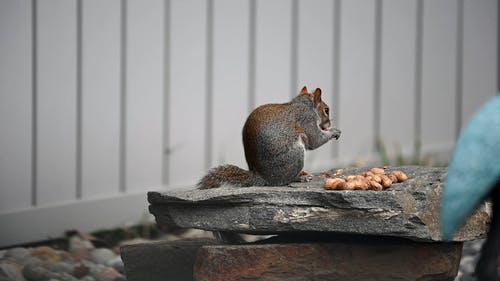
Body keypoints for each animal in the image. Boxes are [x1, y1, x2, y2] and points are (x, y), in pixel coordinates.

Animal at [197, 86, 342, 189]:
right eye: (326, 110)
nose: (329, 124)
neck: (304, 104)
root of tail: (263, 177)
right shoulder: (307, 119)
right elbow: (315, 140)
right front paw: (334, 131)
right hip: (295, 154)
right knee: (282, 181)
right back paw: (299, 177)